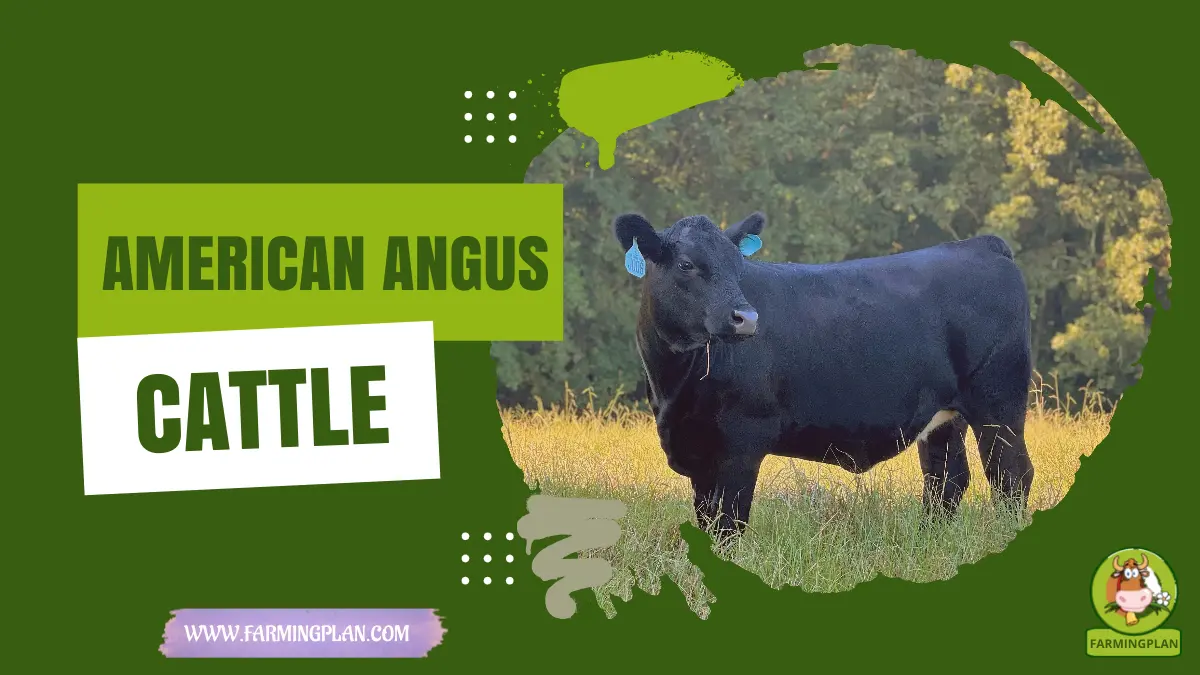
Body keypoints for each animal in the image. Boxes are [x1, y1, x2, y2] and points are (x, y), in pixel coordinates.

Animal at [614, 210, 1036, 540]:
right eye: (686, 264)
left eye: (739, 267)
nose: (746, 317)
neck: (674, 388)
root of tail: (980, 245)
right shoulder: (697, 449)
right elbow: (706, 520)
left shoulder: (743, 442)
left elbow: (728, 523)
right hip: (945, 416)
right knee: (946, 479)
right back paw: (927, 542)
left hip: (999, 402)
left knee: (1010, 475)